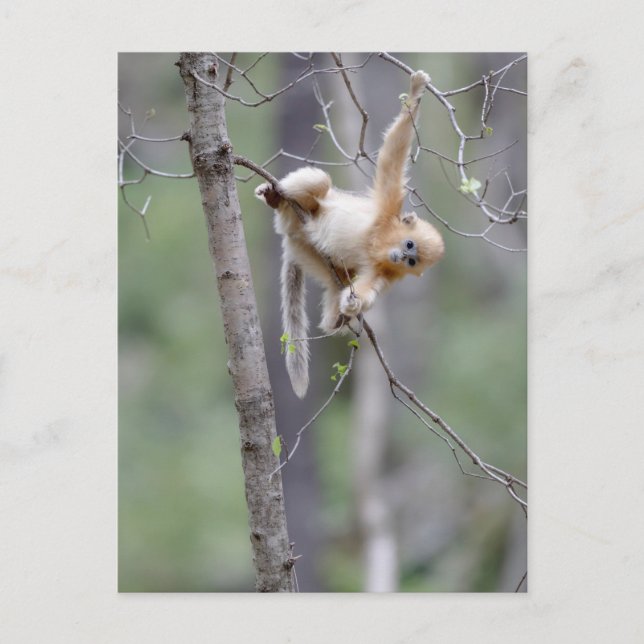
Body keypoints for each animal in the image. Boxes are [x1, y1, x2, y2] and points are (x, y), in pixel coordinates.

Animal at [255, 70, 444, 398]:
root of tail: (292, 231)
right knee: (320, 181)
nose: (401, 256)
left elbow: (366, 289)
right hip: (304, 212)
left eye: (412, 261)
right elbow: (393, 157)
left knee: (335, 285)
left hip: (307, 252)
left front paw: (353, 305)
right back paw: (277, 197)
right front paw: (416, 92)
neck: (378, 243)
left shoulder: (385, 273)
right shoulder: (386, 208)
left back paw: (337, 318)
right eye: (408, 244)